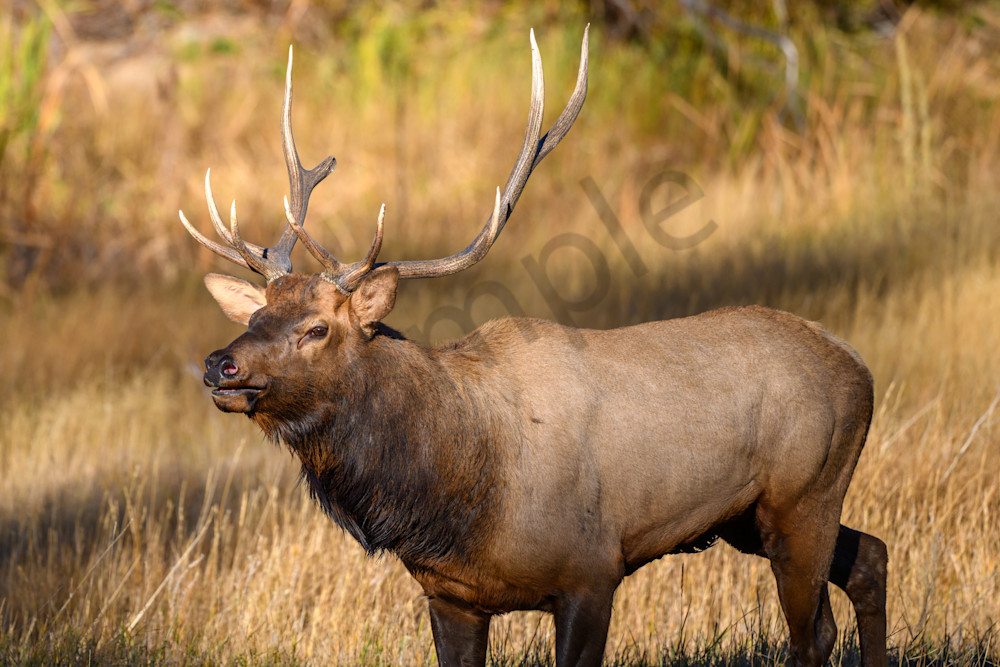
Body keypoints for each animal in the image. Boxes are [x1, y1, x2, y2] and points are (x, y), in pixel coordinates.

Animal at [179, 28, 888, 667]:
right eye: (259, 313)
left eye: (317, 329)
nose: (220, 363)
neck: (457, 488)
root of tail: (859, 366)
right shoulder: (452, 595)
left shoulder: (591, 572)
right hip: (749, 517)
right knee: (870, 558)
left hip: (804, 493)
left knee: (813, 632)